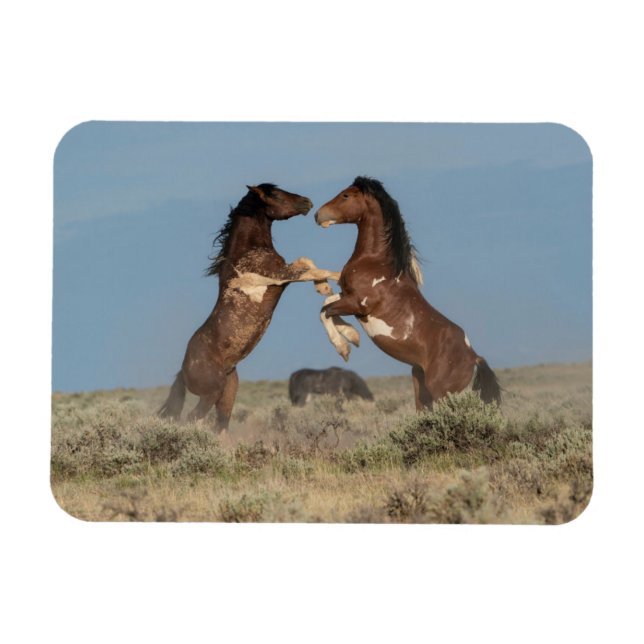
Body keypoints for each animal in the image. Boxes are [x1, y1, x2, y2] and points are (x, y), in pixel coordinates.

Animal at [159, 183, 356, 432]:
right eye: (275, 195)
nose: (307, 202)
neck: (247, 252)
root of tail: (183, 371)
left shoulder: (285, 273)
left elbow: (308, 263)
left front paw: (324, 288)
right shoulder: (282, 275)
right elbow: (311, 267)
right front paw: (339, 279)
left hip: (227, 394)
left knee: (219, 426)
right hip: (210, 394)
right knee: (193, 419)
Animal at [315, 176, 501, 411]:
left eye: (346, 195)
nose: (318, 215)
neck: (376, 263)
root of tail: (473, 356)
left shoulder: (358, 304)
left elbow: (325, 311)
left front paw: (344, 348)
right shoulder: (346, 296)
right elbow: (327, 303)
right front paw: (352, 336)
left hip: (441, 392)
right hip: (420, 385)